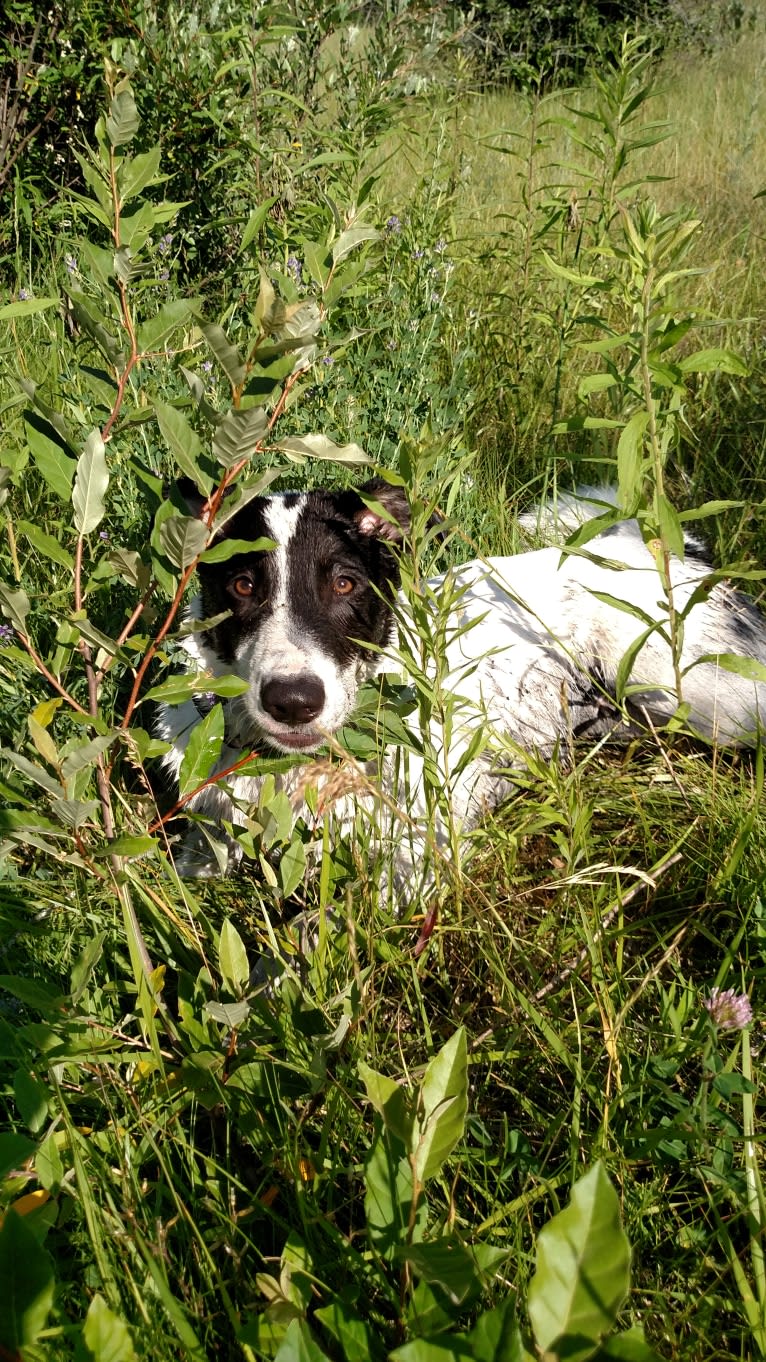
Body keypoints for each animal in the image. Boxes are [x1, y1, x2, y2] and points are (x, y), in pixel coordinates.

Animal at [156, 479, 763, 893]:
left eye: (345, 584)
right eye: (242, 585)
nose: (293, 701)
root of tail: (659, 549)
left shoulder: (415, 860)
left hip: (699, 692)